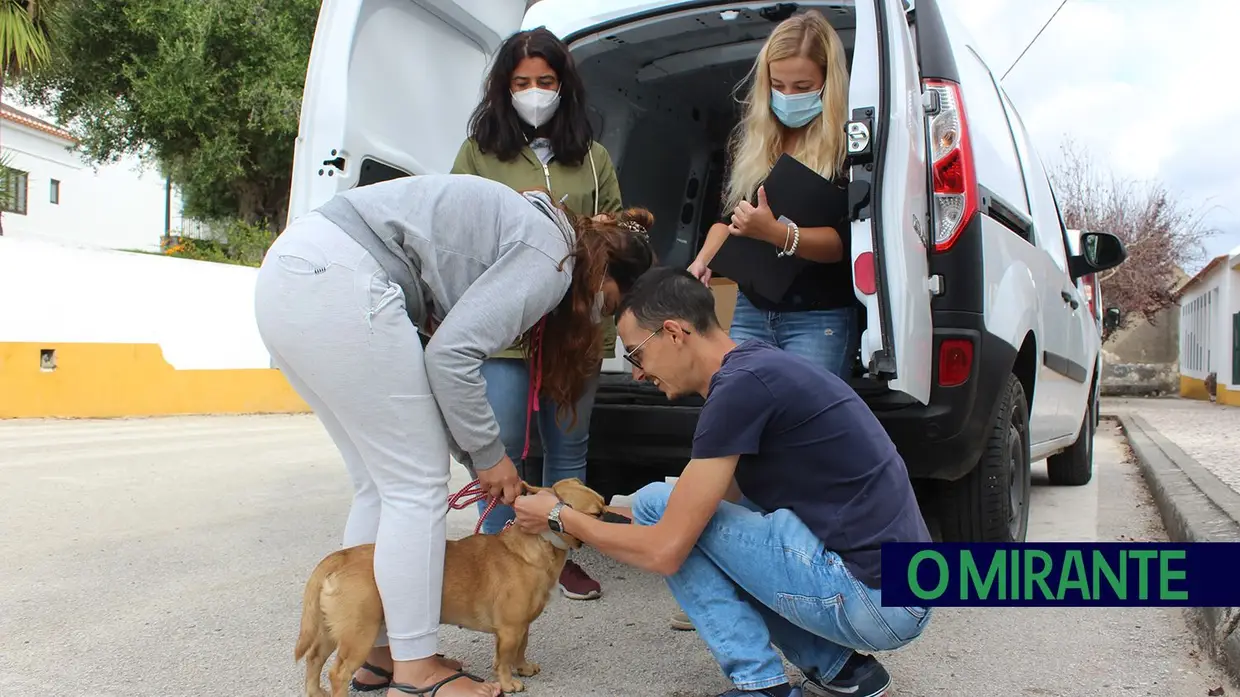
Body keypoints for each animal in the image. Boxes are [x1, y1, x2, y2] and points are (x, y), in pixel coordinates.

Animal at [292, 476, 607, 694]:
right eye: (596, 514)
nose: (610, 517)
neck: (538, 543)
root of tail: (337, 558)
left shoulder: (522, 626)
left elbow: (521, 649)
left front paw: (524, 668)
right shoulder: (509, 630)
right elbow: (503, 660)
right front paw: (508, 684)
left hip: (331, 631)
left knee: (314, 659)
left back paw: (315, 692)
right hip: (359, 633)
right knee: (338, 673)